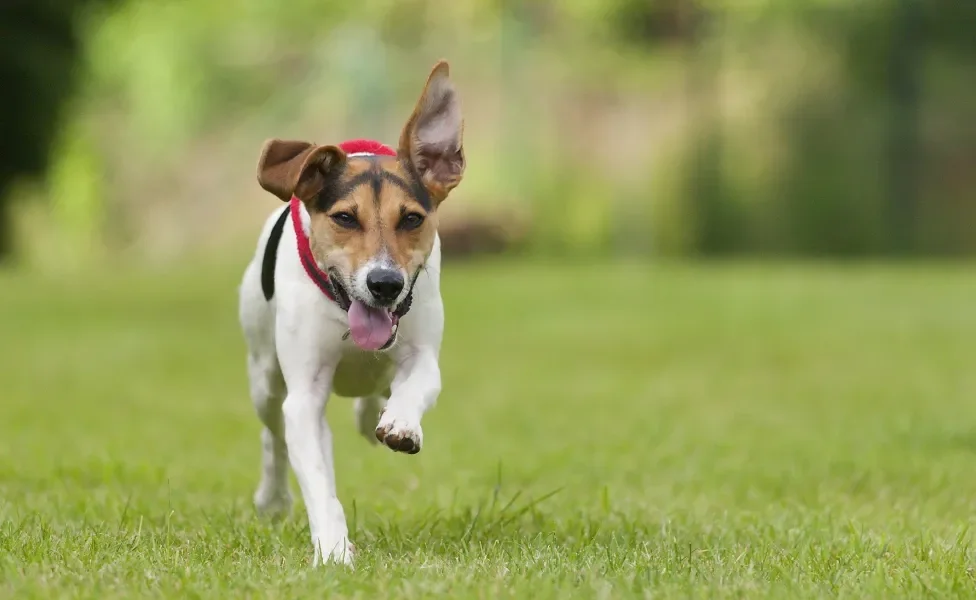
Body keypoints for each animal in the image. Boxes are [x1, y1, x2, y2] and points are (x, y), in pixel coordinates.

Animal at [236, 58, 466, 564]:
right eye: (344, 217)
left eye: (412, 219)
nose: (385, 284)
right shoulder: (303, 397)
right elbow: (317, 477)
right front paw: (335, 551)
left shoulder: (423, 351)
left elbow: (419, 380)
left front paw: (401, 423)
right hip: (264, 376)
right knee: (273, 436)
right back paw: (273, 497)